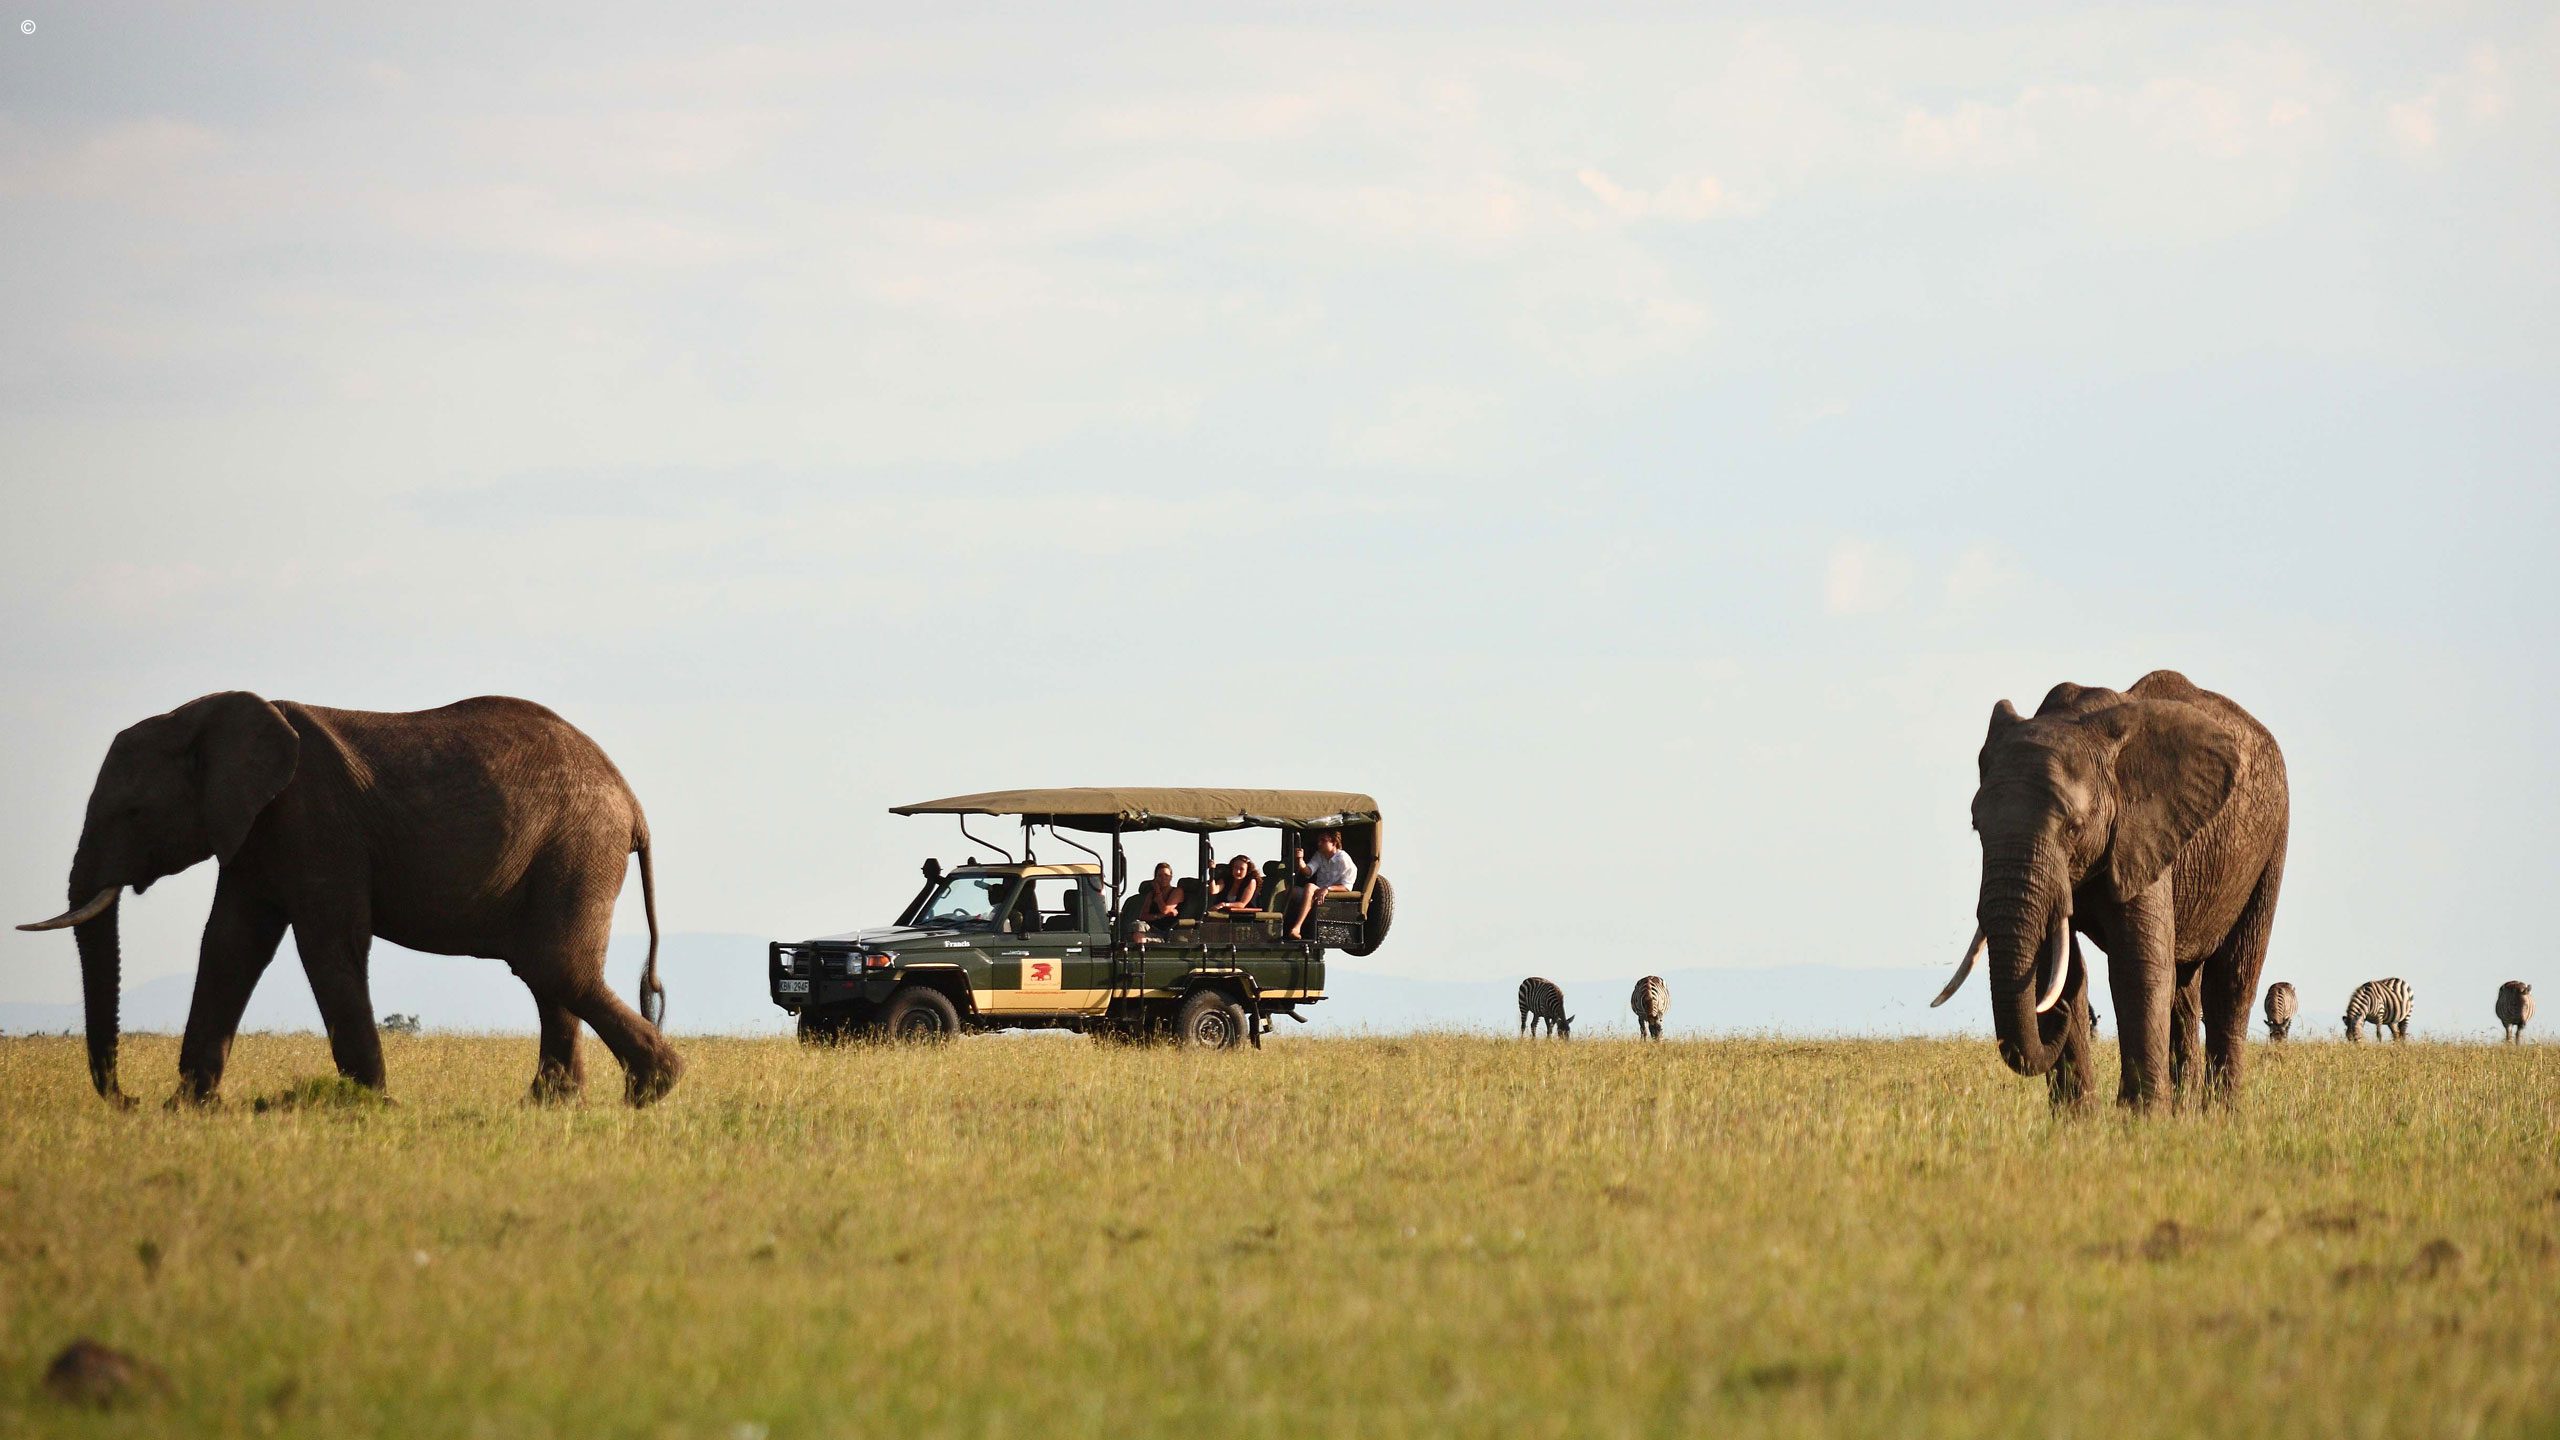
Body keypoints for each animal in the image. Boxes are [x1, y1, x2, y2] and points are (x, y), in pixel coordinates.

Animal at [18, 693, 680, 1108]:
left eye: (134, 813)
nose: (126, 1098)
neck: (204, 715)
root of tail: (633, 803)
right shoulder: (254, 833)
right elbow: (231, 945)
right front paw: (186, 1110)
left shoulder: (312, 821)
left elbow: (327, 944)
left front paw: (371, 1107)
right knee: (549, 973)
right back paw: (553, 1106)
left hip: (578, 844)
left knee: (552, 965)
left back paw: (652, 1091)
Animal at [1932, 671, 2288, 1112]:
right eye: (1976, 825)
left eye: (2073, 827)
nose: (2062, 1019)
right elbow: (2058, 970)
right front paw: (2077, 1120)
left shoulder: (2144, 830)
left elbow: (2137, 968)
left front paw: (2141, 1119)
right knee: (2184, 992)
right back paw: (2185, 1116)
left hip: (2271, 841)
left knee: (2230, 985)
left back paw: (2221, 1116)